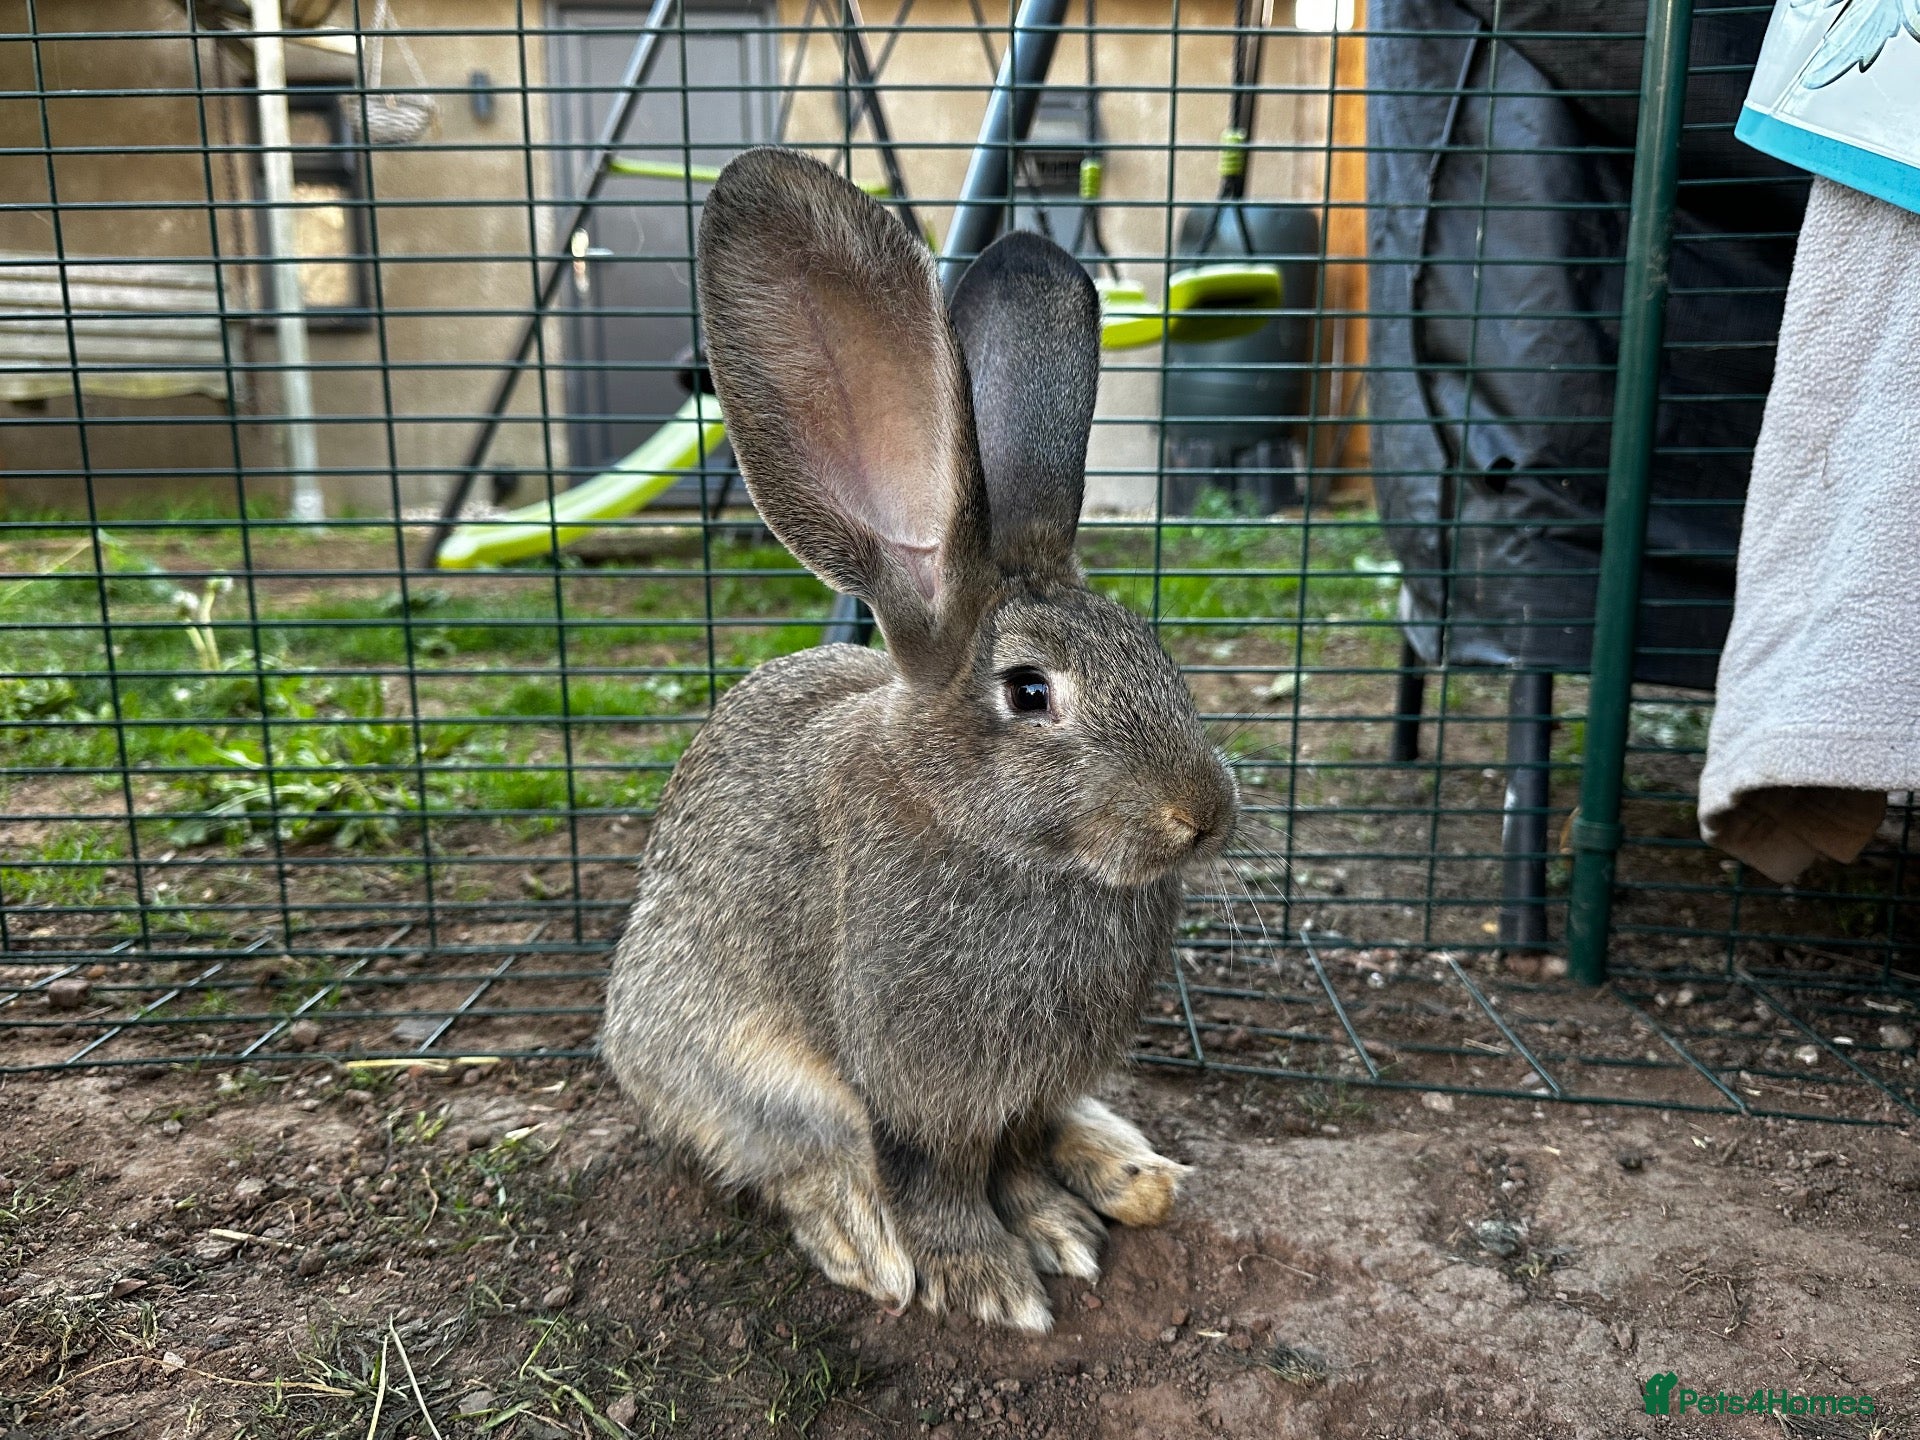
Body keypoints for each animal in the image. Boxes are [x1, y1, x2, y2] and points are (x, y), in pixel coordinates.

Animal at [601, 147, 1237, 1333]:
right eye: (1030, 692)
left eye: (1154, 648)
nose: (1204, 817)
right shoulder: (913, 1090)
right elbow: (933, 1179)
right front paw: (988, 1278)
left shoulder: (1026, 1093)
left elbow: (1024, 1154)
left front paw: (1055, 1231)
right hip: (729, 1059)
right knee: (792, 1155)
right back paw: (863, 1236)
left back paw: (1133, 1174)